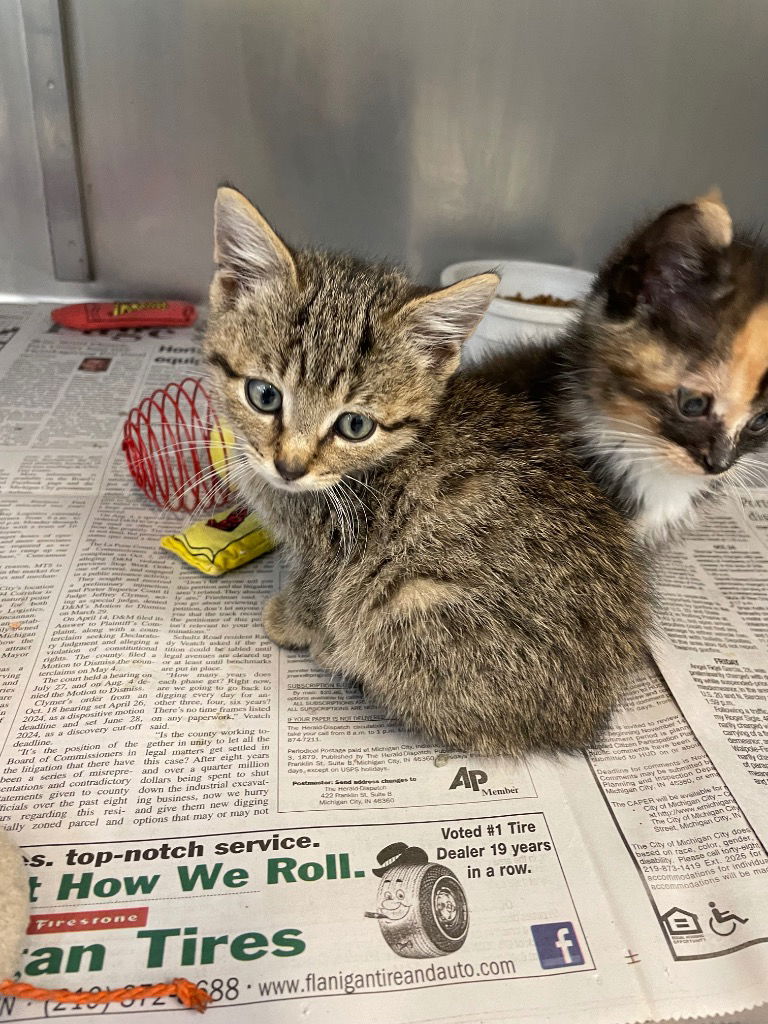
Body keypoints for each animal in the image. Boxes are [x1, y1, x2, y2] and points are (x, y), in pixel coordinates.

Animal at [201, 188, 651, 757]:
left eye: (355, 425)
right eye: (264, 395)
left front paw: (290, 620)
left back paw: (338, 654)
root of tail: (582, 718)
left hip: (408, 605)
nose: (289, 465)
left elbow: (316, 590)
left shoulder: (334, 553)